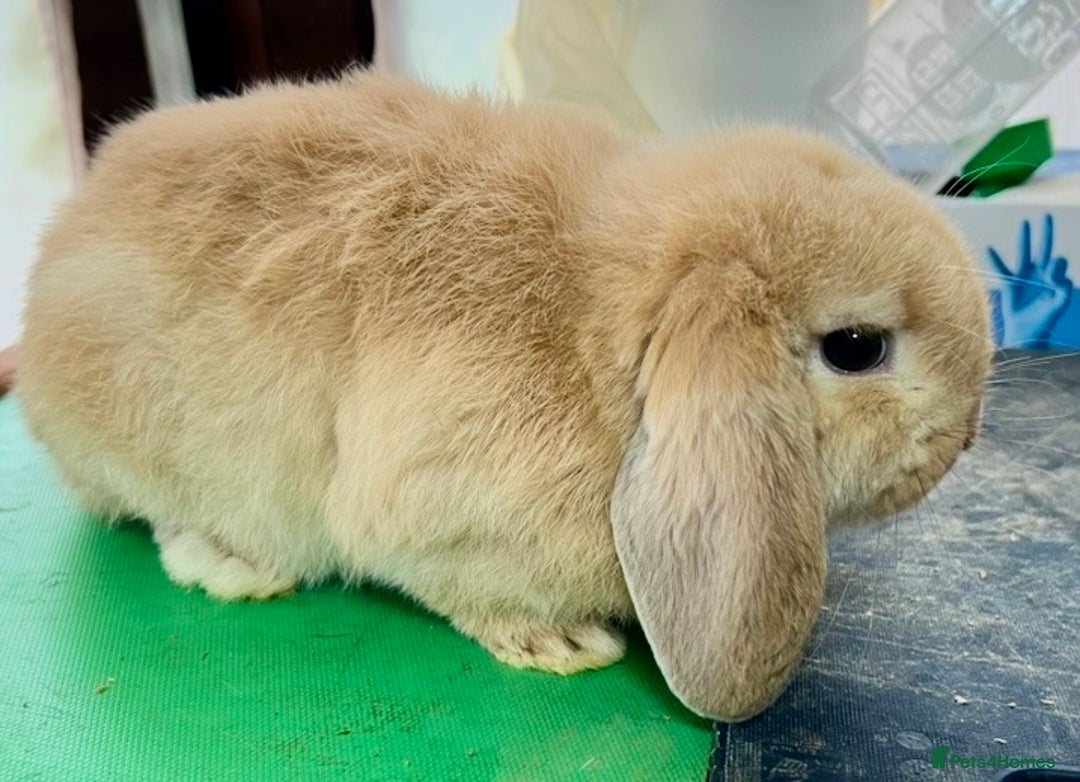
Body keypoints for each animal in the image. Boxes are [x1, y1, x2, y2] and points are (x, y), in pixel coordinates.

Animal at [18, 71, 992, 722]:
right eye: (857, 348)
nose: (968, 436)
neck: (595, 332)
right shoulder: (439, 514)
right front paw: (563, 646)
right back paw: (235, 564)